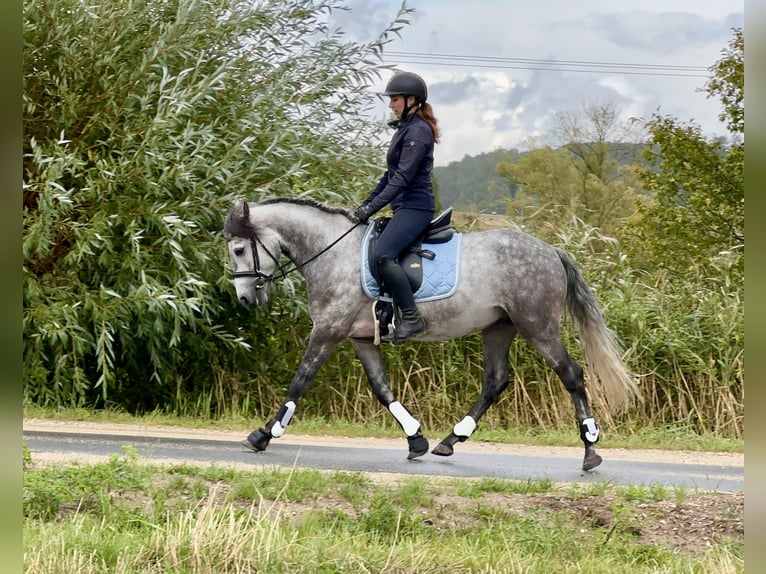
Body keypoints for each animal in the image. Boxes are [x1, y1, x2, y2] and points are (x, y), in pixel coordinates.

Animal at [225, 199, 640, 472]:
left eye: (239, 249)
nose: (245, 299)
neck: (332, 253)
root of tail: (552, 250)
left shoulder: (328, 330)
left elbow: (300, 380)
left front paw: (263, 434)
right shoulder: (361, 338)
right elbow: (381, 388)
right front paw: (416, 439)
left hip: (537, 325)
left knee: (571, 374)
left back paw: (590, 450)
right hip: (499, 328)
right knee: (495, 381)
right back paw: (448, 442)